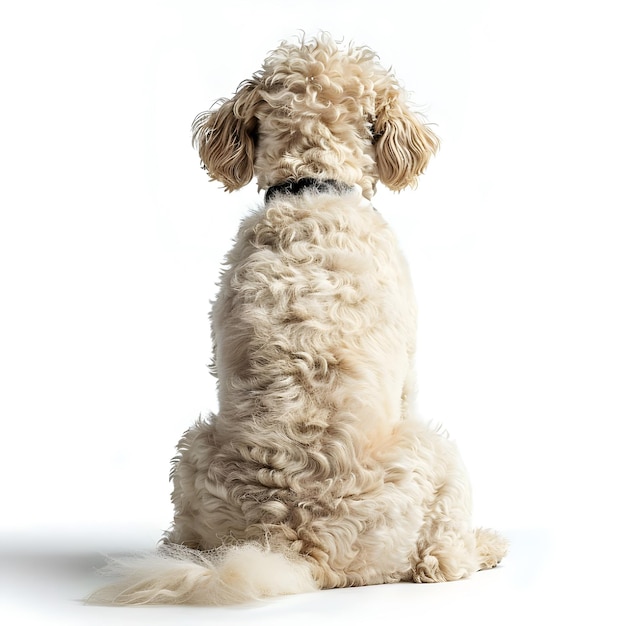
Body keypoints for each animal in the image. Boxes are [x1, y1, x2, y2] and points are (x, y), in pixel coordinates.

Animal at [90, 31, 504, 604]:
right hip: (438, 451)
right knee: (440, 560)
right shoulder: (409, 377)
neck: (312, 185)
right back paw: (484, 546)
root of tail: (301, 545)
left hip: (192, 449)